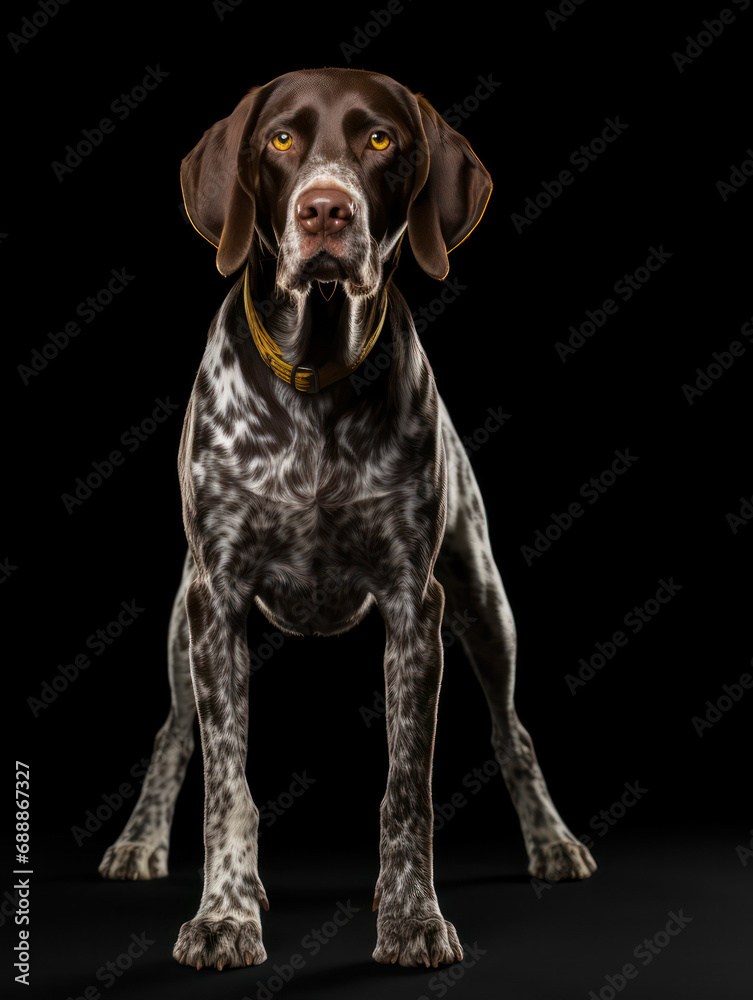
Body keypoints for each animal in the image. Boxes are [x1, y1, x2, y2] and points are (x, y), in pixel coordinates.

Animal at [97, 68, 596, 968]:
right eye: (281, 140)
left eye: (378, 139)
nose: (324, 212)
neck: (317, 380)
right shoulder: (216, 602)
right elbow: (227, 785)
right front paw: (225, 916)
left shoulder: (415, 605)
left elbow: (406, 791)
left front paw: (411, 917)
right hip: (182, 628)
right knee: (172, 734)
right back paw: (140, 843)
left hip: (484, 602)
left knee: (512, 729)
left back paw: (551, 841)